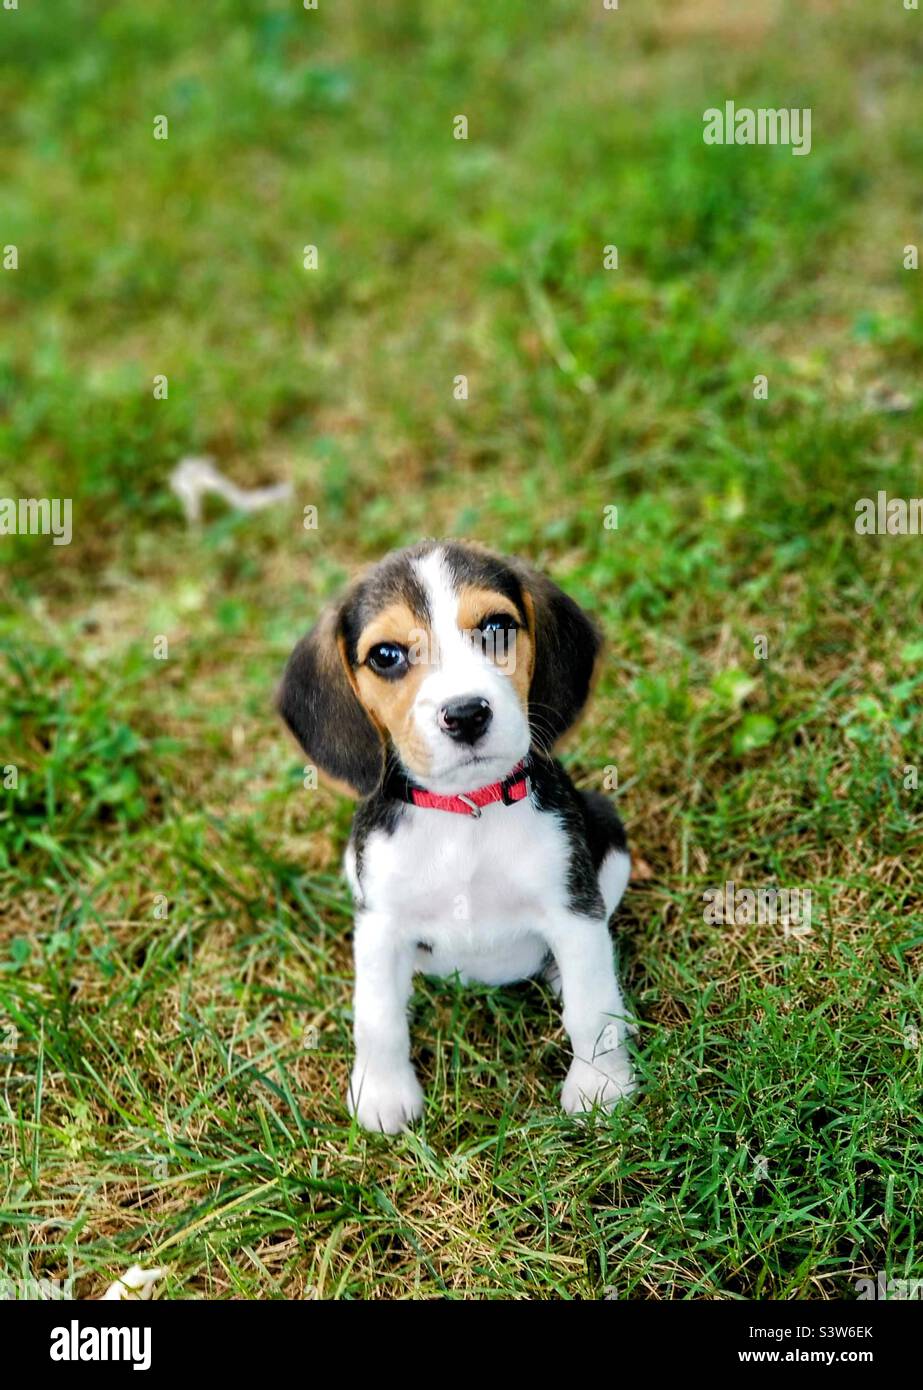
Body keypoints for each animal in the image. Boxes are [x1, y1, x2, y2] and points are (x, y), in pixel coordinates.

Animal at [279, 539, 633, 1128]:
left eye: (496, 627)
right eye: (386, 655)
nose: (466, 714)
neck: (465, 811)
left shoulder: (573, 908)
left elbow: (591, 1009)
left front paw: (600, 1086)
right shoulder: (378, 923)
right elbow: (377, 1018)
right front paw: (382, 1094)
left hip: (608, 827)